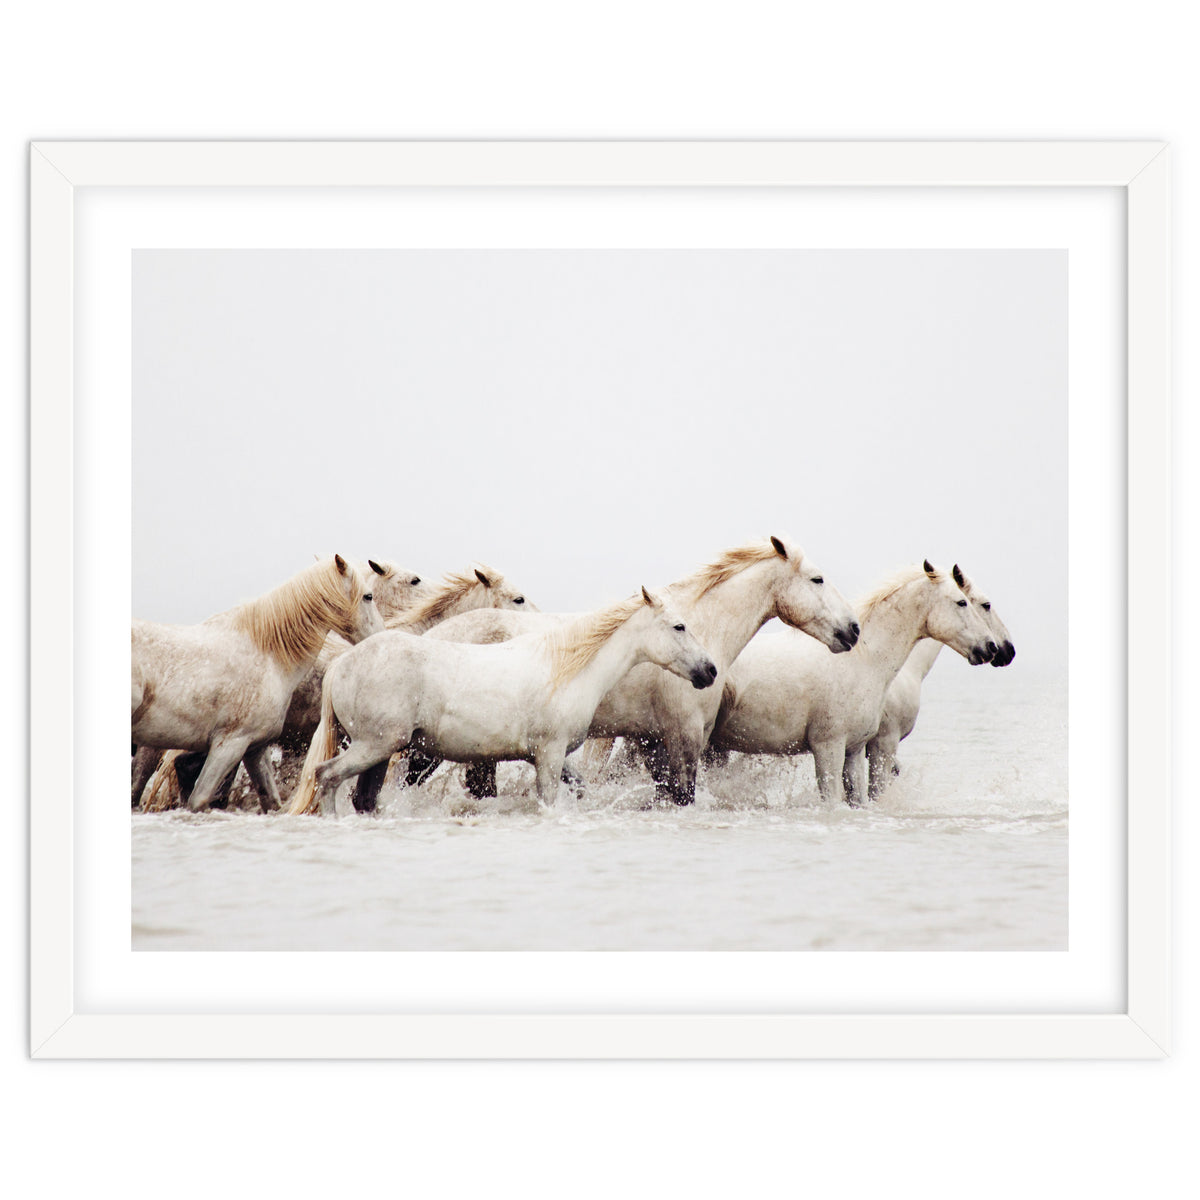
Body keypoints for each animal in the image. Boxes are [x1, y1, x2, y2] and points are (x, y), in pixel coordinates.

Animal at [131, 555, 382, 813]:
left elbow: (270, 800)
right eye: (368, 596)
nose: (380, 635)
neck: (268, 655)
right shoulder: (229, 745)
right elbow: (199, 799)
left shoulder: (254, 748)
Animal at [285, 587, 719, 815]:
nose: (710, 671)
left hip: (380, 751)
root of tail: (342, 663)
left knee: (363, 797)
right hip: (374, 745)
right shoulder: (549, 754)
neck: (566, 668)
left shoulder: (550, 757)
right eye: (679, 626)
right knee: (327, 776)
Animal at [416, 536, 860, 805]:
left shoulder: (652, 742)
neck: (700, 628)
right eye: (817, 579)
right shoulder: (682, 737)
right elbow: (682, 795)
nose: (853, 630)